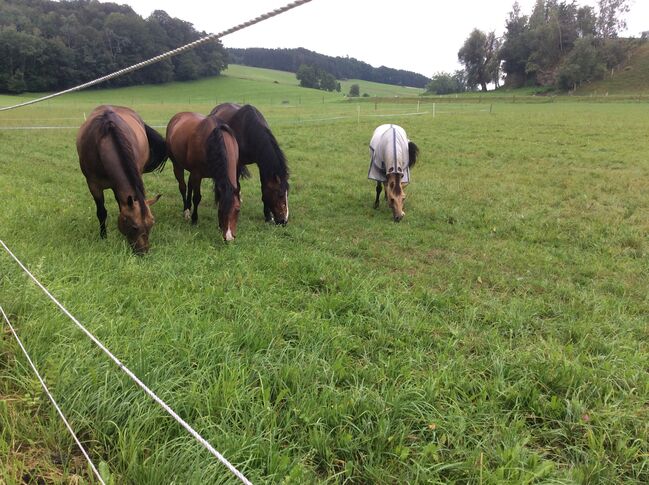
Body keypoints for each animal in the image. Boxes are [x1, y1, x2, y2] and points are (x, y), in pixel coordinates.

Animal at [76, 105, 165, 253]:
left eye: (152, 224)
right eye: (134, 227)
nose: (144, 251)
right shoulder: (93, 185)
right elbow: (101, 212)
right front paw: (103, 236)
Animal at [165, 112, 240, 242]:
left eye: (237, 210)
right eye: (222, 210)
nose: (229, 238)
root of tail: (177, 116)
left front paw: (219, 225)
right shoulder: (197, 174)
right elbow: (197, 197)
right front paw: (194, 219)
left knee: (189, 185)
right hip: (177, 165)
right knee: (183, 187)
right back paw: (186, 212)